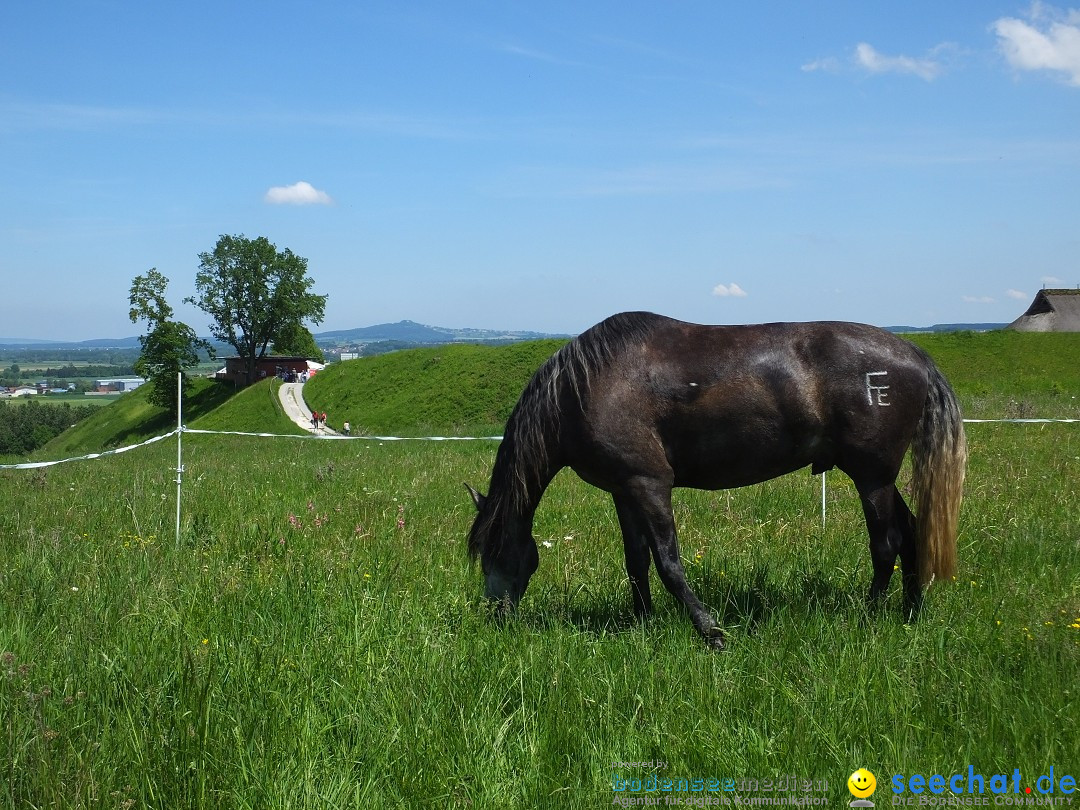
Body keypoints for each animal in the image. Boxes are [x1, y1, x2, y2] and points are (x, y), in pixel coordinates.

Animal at [464, 313, 963, 652]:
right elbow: (636, 563)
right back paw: (909, 614)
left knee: (886, 542)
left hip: (871, 477)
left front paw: (710, 632)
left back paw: (870, 618)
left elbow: (668, 564)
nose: (495, 617)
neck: (585, 388)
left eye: (493, 554)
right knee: (912, 533)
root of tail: (916, 357)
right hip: (877, 477)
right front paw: (642, 624)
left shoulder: (649, 485)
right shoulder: (624, 491)